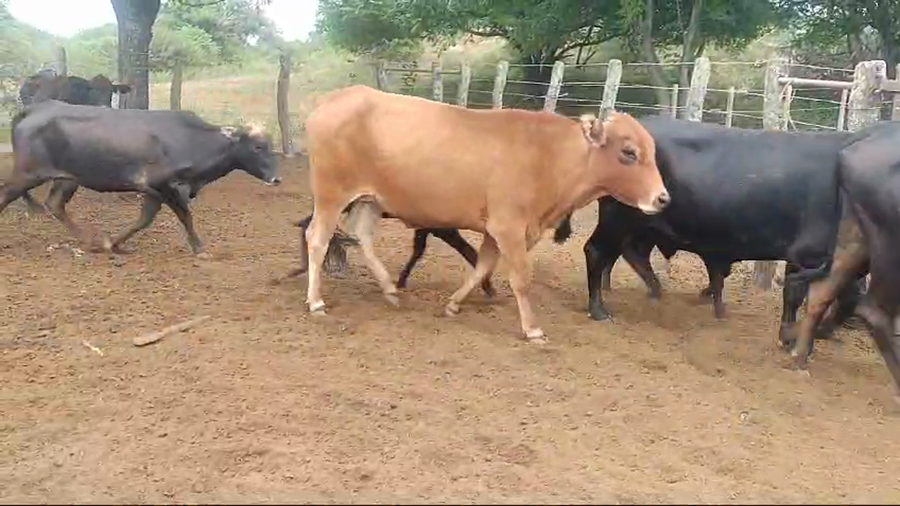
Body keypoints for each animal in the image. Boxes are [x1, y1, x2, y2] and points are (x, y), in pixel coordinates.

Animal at [1, 100, 280, 255]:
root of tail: (37, 108)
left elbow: (144, 220)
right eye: (258, 146)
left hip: (68, 178)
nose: (276, 178)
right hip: (28, 173)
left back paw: (90, 241)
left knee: (55, 205)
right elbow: (185, 216)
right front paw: (199, 248)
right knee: (6, 195)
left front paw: (113, 244)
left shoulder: (155, 192)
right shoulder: (164, 185)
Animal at [299, 85, 669, 342]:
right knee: (316, 239)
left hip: (370, 200)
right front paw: (532, 329)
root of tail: (331, 101)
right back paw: (316, 302)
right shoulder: (509, 227)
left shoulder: (496, 230)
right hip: (331, 195)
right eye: (629, 152)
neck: (549, 156)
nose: (663, 199)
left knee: (363, 235)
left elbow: (481, 267)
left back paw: (390, 289)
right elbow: (520, 277)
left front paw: (453, 304)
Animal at [571, 114, 866, 348]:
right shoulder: (812, 255)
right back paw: (599, 309)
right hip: (618, 219)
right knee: (597, 251)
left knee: (629, 253)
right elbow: (808, 297)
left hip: (641, 226)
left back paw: (656, 292)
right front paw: (794, 337)